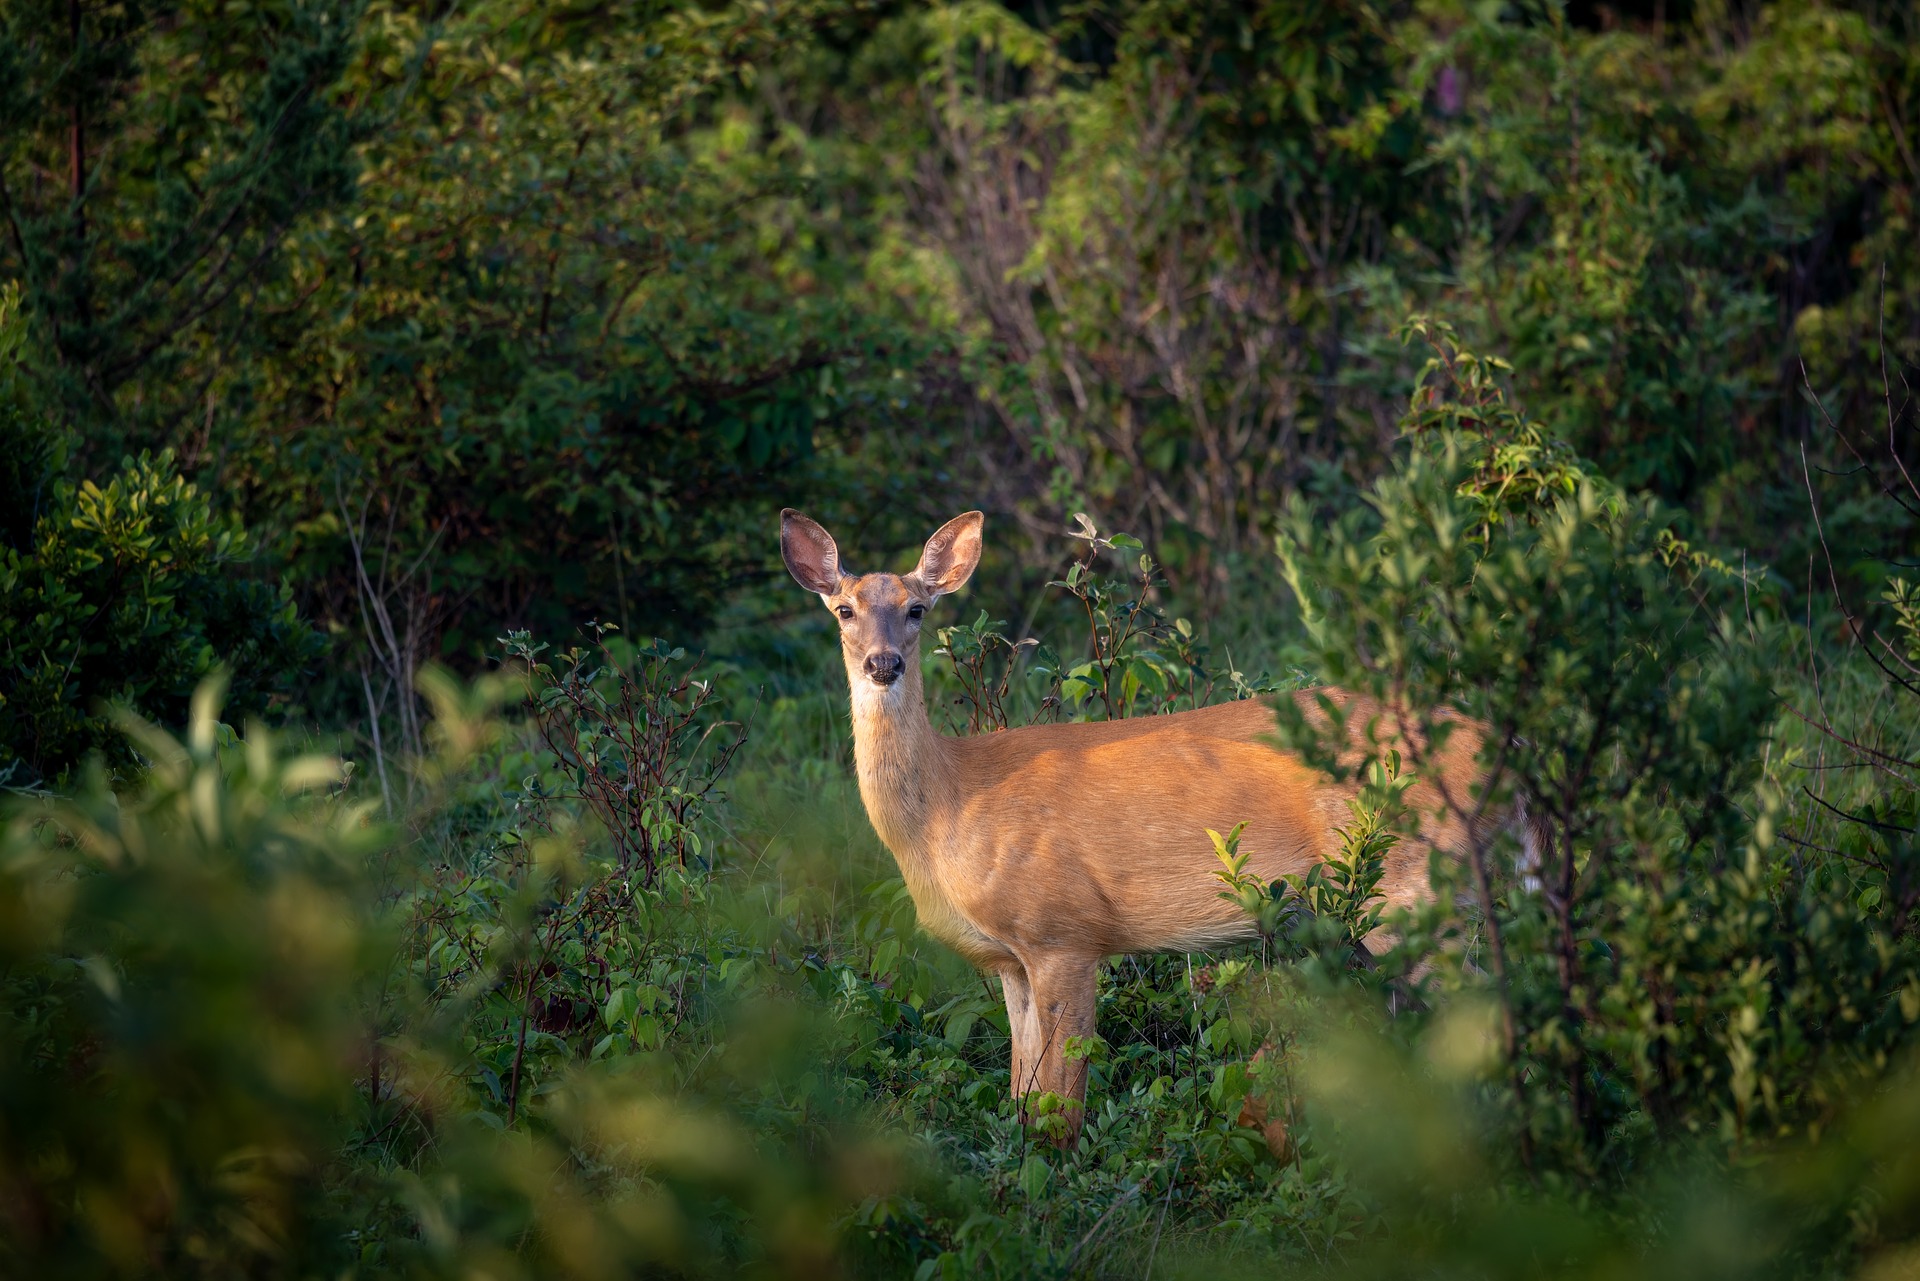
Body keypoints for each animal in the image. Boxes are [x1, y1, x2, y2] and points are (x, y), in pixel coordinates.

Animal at [779, 507, 1497, 1144]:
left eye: (917, 609)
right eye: (844, 609)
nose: (883, 664)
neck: (948, 806)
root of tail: (1490, 744)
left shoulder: (1064, 930)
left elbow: (1061, 1107)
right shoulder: (1012, 957)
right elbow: (1020, 1090)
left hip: (1413, 889)